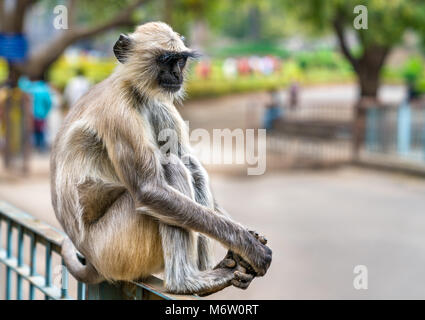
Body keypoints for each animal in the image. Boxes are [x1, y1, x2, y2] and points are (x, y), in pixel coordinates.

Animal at [50, 21, 272, 296]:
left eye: (180, 60)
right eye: (166, 60)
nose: (177, 75)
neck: (133, 88)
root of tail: (92, 259)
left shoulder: (158, 103)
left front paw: (246, 242)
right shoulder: (118, 112)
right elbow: (149, 190)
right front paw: (250, 247)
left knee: (188, 165)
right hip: (113, 248)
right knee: (171, 167)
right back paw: (185, 282)